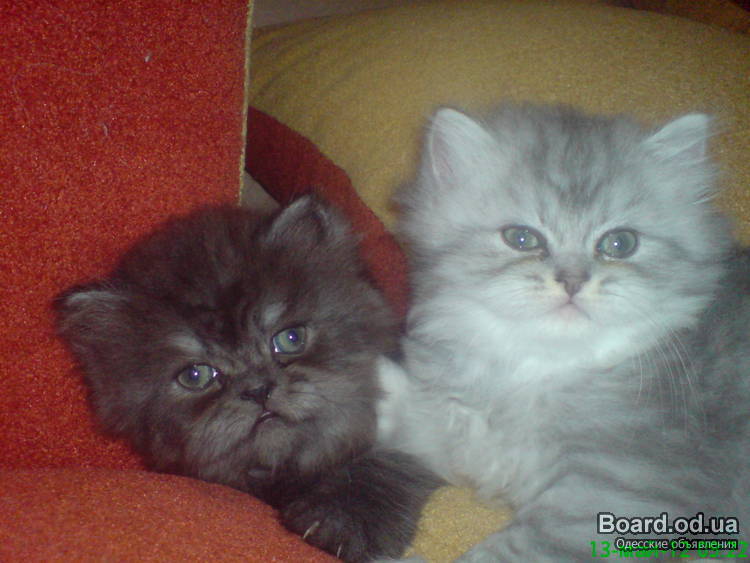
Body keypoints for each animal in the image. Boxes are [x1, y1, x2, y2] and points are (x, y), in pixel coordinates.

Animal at [377, 103, 750, 561]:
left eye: (619, 244)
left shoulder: (624, 491)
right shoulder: (478, 446)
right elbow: (423, 422)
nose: (572, 281)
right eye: (522, 238)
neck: (541, 369)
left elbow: (513, 550)